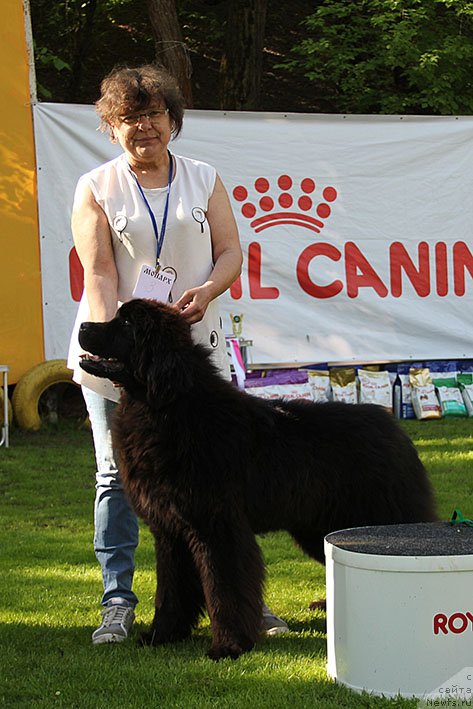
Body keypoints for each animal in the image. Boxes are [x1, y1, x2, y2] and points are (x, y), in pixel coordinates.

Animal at [77, 298, 436, 660]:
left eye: (125, 324)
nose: (83, 326)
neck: (167, 406)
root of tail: (393, 427)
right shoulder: (170, 531)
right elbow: (171, 589)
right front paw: (161, 634)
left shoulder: (217, 528)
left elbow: (224, 589)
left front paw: (228, 645)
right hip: (320, 527)